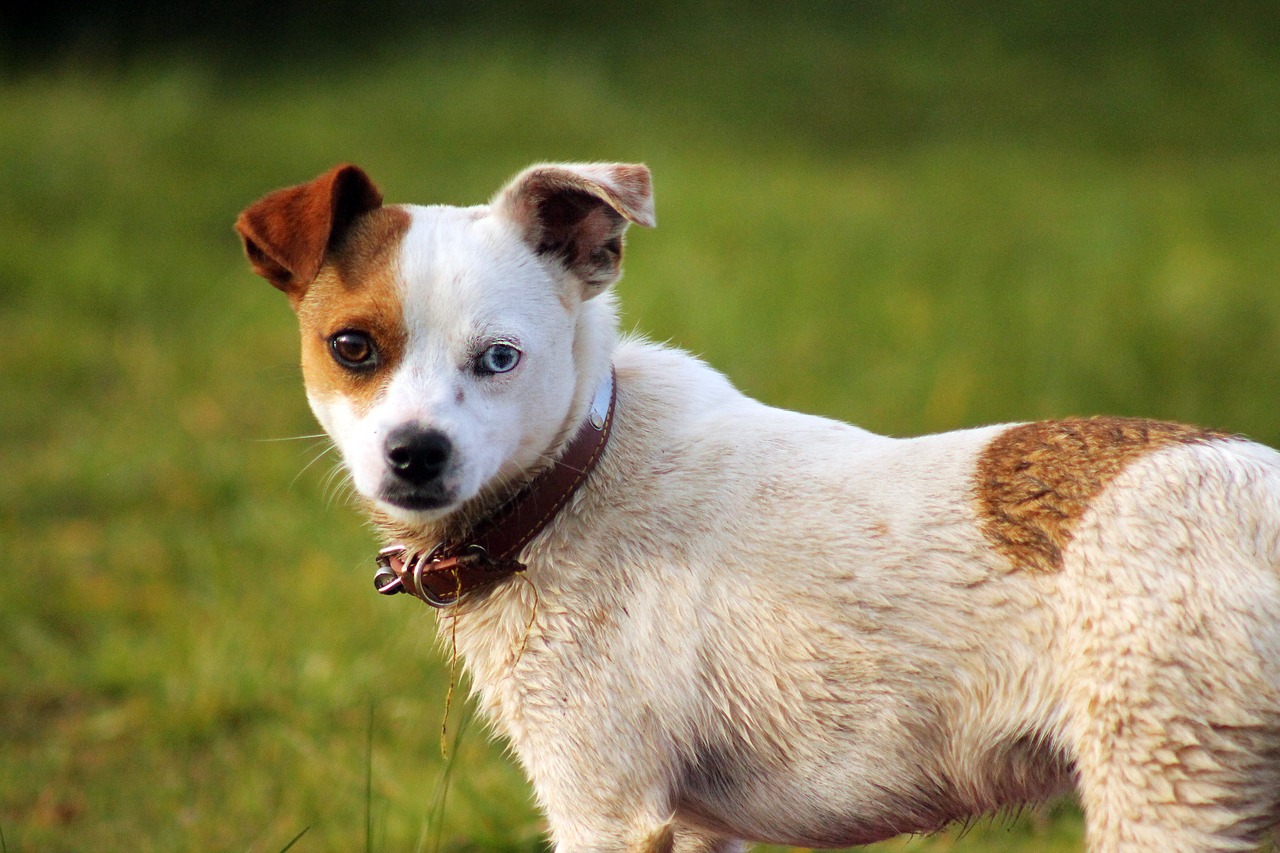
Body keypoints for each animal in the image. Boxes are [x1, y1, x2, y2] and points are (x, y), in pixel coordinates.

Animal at [235, 162, 1280, 845]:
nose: (415, 454)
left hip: (1171, 775)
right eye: (352, 348)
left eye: (500, 358)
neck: (577, 477)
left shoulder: (608, 806)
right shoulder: (694, 827)